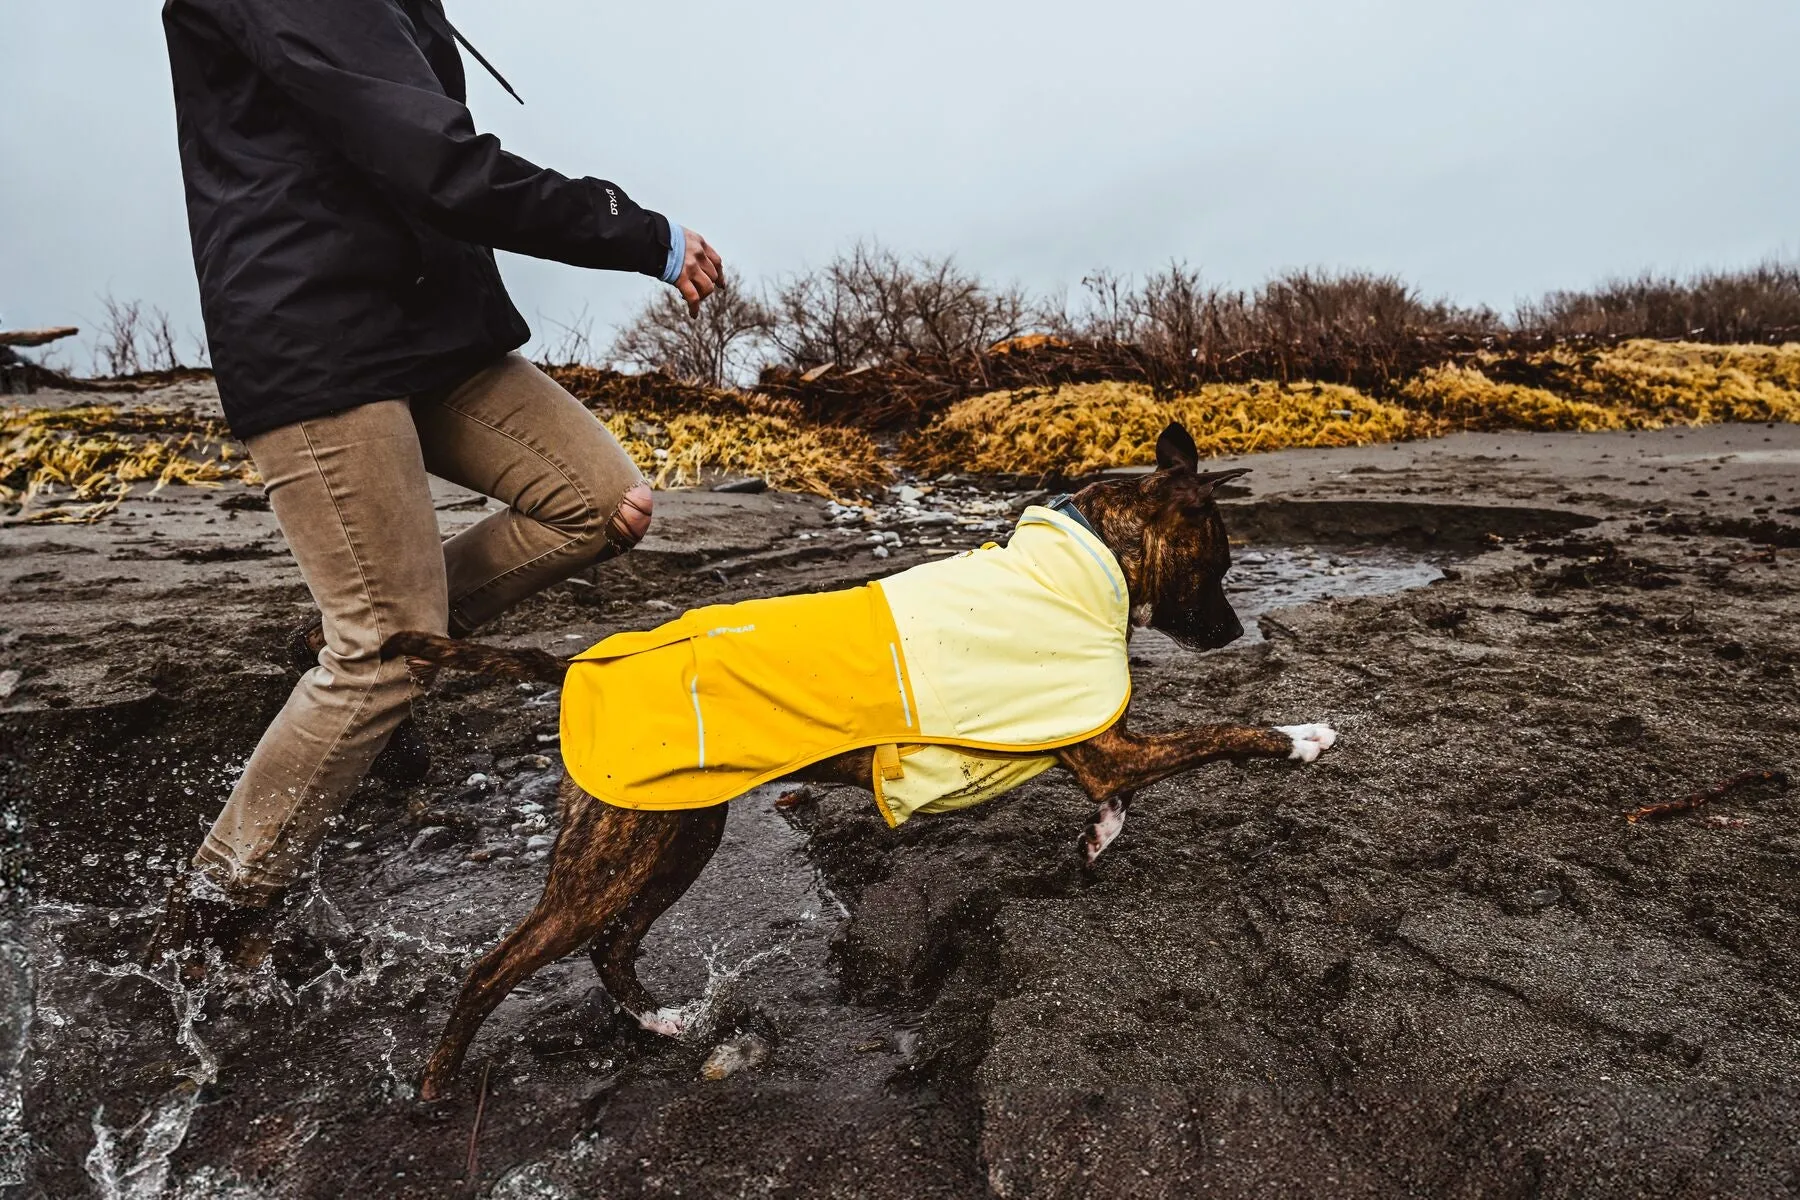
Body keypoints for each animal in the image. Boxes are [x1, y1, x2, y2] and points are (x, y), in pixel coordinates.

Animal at [383, 422, 1339, 1101]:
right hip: (613, 858)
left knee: (614, 946)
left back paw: (659, 1023)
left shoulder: (1095, 752)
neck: (1083, 561)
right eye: (1218, 565)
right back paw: (437, 1087)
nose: (1233, 633)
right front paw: (1302, 737)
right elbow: (1222, 734)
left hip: (675, 840)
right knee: (498, 965)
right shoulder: (1110, 748)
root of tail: (584, 665)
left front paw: (1099, 841)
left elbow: (1122, 798)